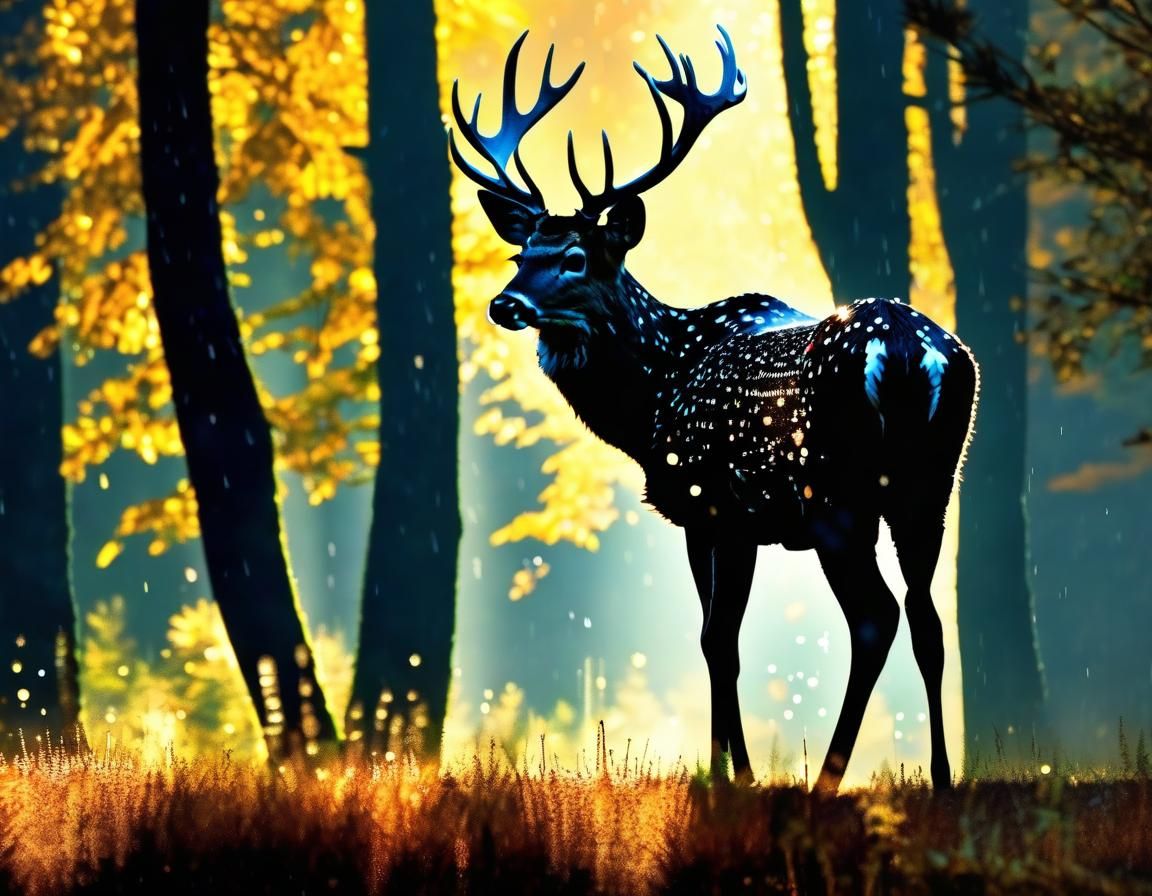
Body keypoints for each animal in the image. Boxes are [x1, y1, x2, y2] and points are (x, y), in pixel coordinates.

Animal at [449, 26, 978, 793]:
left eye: (578, 256)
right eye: (522, 253)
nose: (504, 303)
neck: (653, 401)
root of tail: (913, 354)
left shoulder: (709, 503)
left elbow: (715, 639)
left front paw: (732, 777)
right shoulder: (735, 520)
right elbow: (720, 637)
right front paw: (733, 768)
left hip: (838, 498)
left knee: (875, 616)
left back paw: (826, 780)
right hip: (930, 486)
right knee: (927, 617)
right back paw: (940, 777)